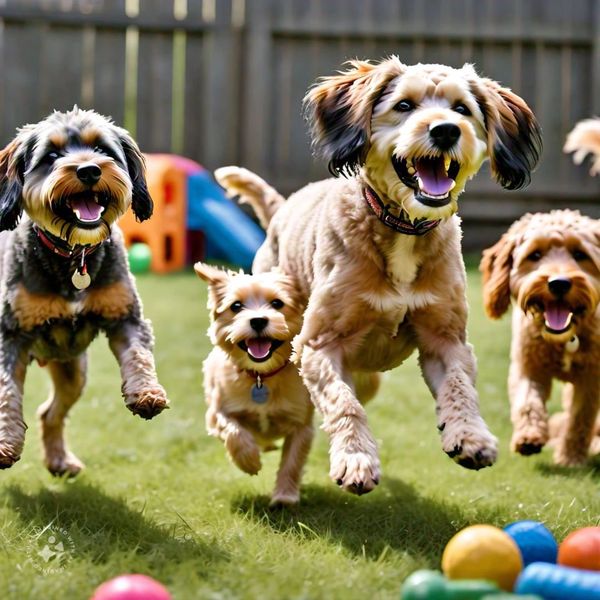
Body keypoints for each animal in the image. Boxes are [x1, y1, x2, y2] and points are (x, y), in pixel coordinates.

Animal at [0, 106, 169, 474]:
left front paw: (147, 394)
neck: (73, 255)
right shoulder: (10, 335)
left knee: (49, 413)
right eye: (51, 156)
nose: (89, 170)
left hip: (73, 371)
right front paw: (5, 444)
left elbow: (139, 354)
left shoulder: (126, 318)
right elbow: (6, 392)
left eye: (102, 149)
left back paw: (59, 460)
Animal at [195, 264, 314, 504]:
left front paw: (284, 497)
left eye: (277, 303)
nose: (258, 320)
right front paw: (249, 461)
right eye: (236, 306)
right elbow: (235, 433)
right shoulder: (217, 413)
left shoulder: (301, 424)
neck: (262, 376)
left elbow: (292, 462)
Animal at [217, 56, 544, 494]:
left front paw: (470, 435)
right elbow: (344, 403)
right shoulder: (319, 345)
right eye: (404, 105)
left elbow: (460, 386)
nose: (445, 130)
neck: (403, 227)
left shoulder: (445, 339)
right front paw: (355, 458)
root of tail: (284, 207)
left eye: (462, 109)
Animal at [480, 209, 600, 466]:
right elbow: (527, 401)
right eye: (535, 255)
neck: (565, 338)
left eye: (580, 254)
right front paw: (528, 437)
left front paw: (571, 458)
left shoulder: (591, 378)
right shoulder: (527, 366)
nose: (559, 283)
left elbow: (580, 419)